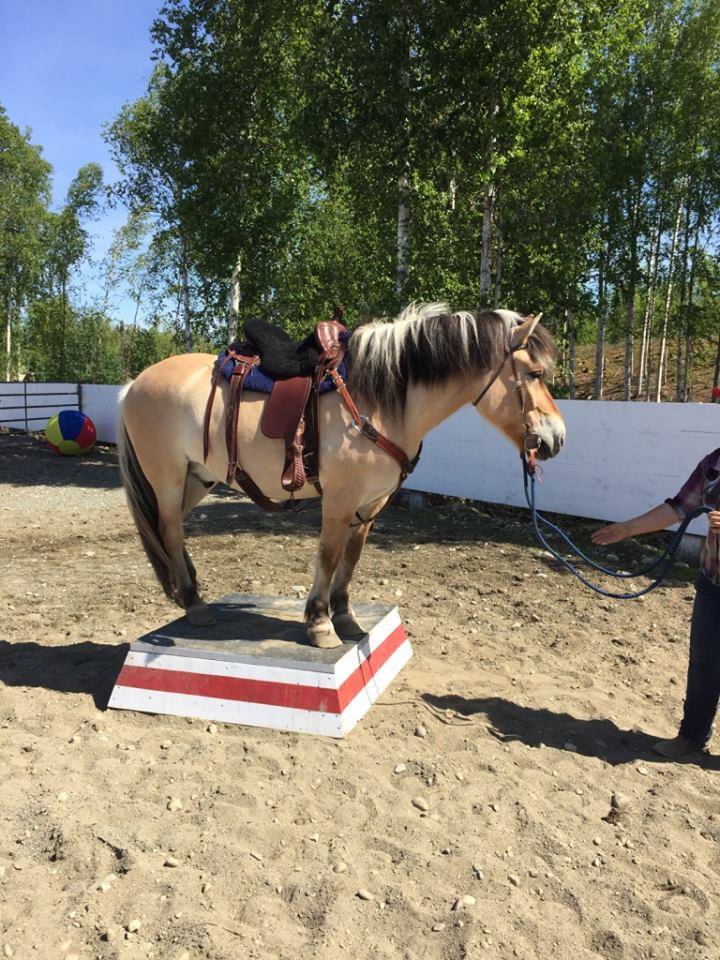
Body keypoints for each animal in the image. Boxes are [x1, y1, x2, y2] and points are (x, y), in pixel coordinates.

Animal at [117, 303, 565, 647]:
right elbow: (329, 555)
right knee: (170, 531)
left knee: (170, 530)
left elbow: (351, 557)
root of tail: (133, 384)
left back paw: (187, 591)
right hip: (168, 478)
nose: (556, 438)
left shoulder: (370, 503)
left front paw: (345, 617)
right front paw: (319, 623)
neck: (381, 399)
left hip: (197, 477)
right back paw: (194, 604)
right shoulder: (340, 498)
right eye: (534, 374)